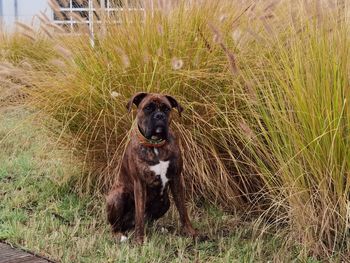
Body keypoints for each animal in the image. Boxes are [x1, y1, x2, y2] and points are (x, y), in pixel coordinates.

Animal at [105, 92, 198, 244]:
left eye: (166, 108)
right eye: (148, 108)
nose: (159, 116)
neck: (155, 145)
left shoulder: (176, 179)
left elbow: (183, 211)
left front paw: (191, 233)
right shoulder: (140, 183)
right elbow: (139, 216)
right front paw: (139, 241)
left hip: (165, 202)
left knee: (148, 220)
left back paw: (160, 229)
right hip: (117, 195)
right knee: (118, 225)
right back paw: (119, 235)